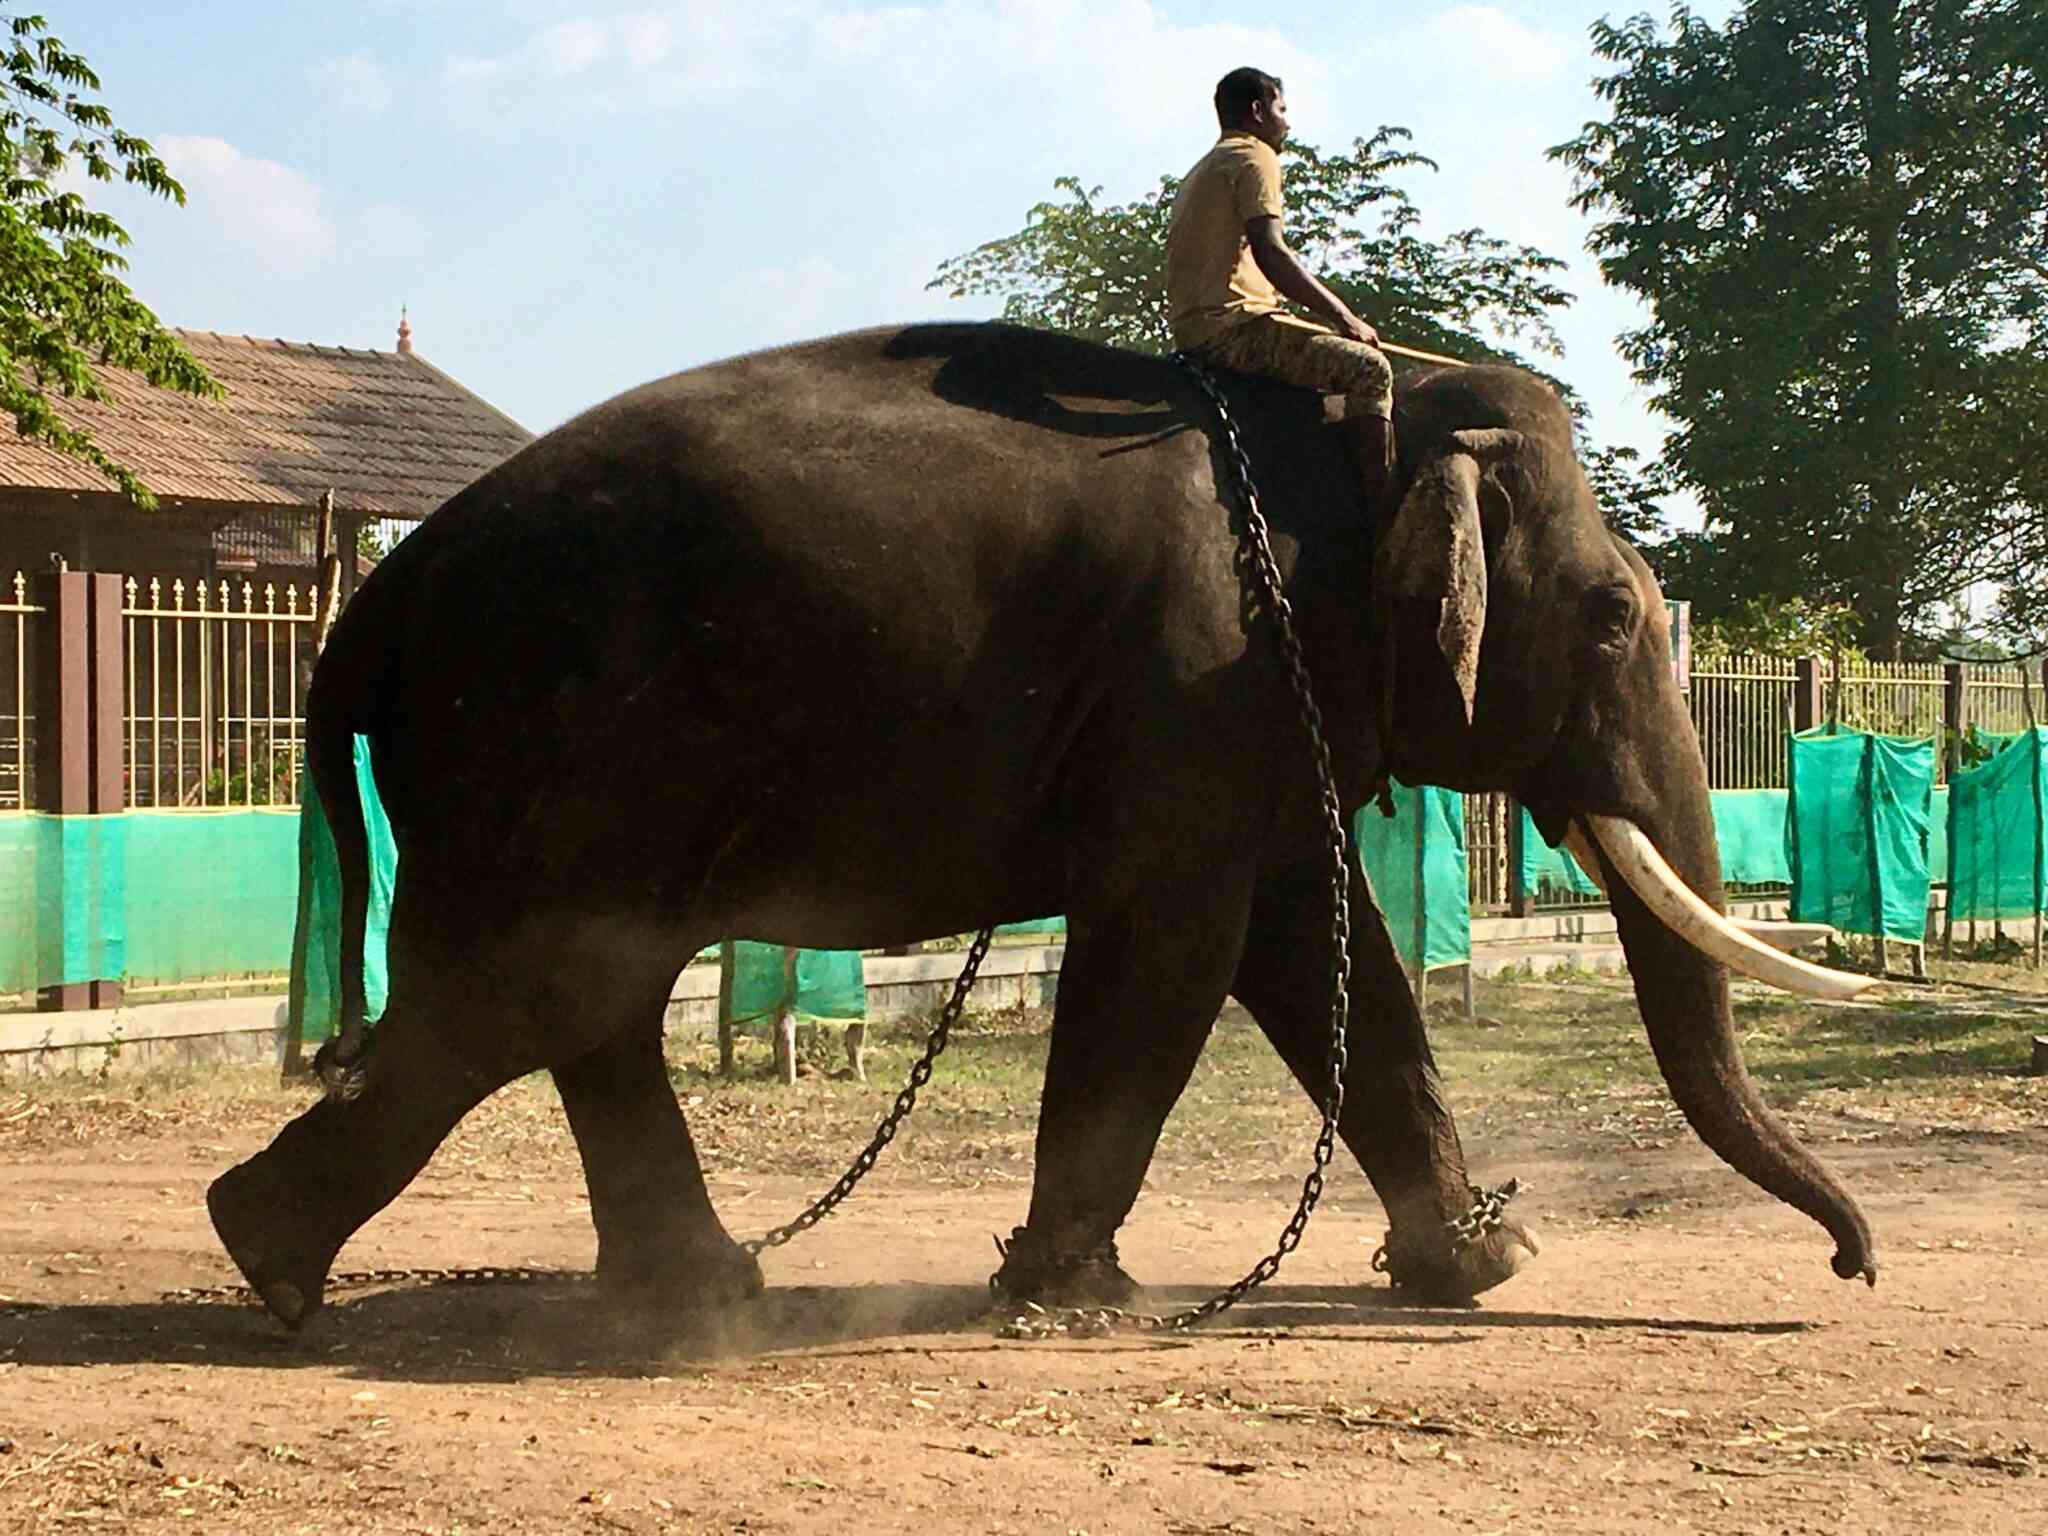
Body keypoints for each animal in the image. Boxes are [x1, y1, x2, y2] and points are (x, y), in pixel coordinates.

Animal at [207, 321, 1878, 1332]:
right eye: (1612, 621)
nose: (1851, 1266)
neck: (1365, 427)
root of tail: (366, 613)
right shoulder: (1200, 678)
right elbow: (1173, 944)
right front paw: (1076, 1301)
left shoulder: (1259, 712)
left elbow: (1312, 945)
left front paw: (1482, 1264)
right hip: (536, 740)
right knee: (537, 992)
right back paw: (270, 1260)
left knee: (582, 1003)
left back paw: (686, 1296)